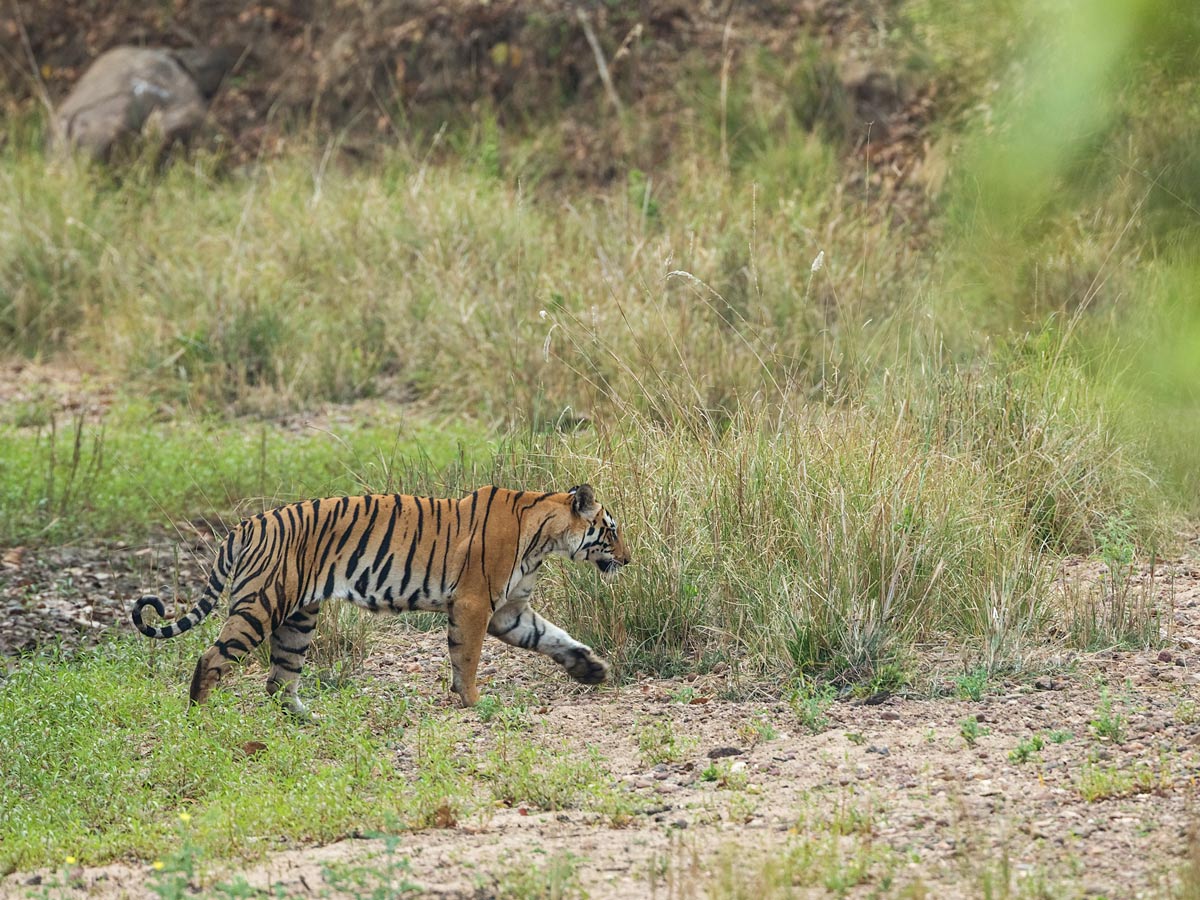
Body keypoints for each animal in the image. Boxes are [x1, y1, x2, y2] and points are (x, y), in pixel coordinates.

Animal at [132, 482, 633, 724]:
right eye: (611, 530)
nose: (628, 559)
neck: (545, 537)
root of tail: (244, 525)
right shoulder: (475, 604)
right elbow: (468, 658)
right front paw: (474, 701)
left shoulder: (510, 612)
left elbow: (553, 638)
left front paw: (592, 669)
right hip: (261, 605)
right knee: (210, 658)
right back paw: (199, 719)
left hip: (298, 619)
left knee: (278, 681)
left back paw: (309, 719)